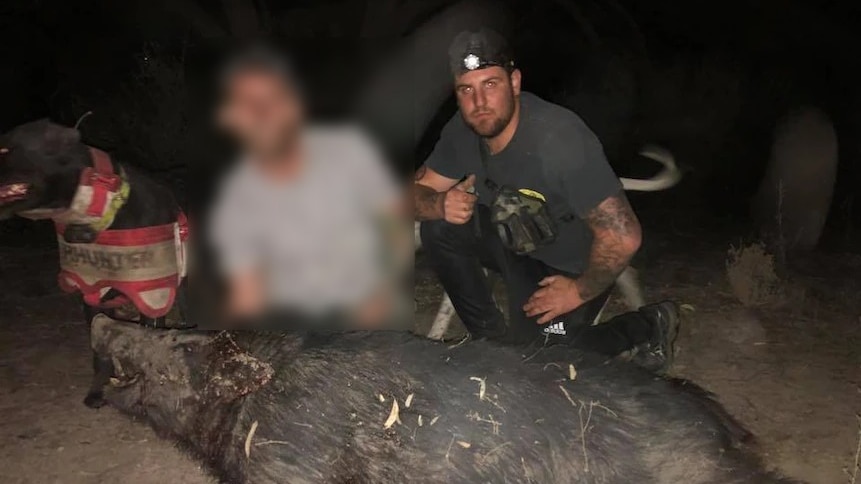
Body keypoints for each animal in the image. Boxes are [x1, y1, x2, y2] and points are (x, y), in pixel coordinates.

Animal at [0, 119, 191, 406]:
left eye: (4, 149)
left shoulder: (154, 293)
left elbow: (147, 341)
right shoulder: (91, 291)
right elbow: (99, 349)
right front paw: (98, 390)